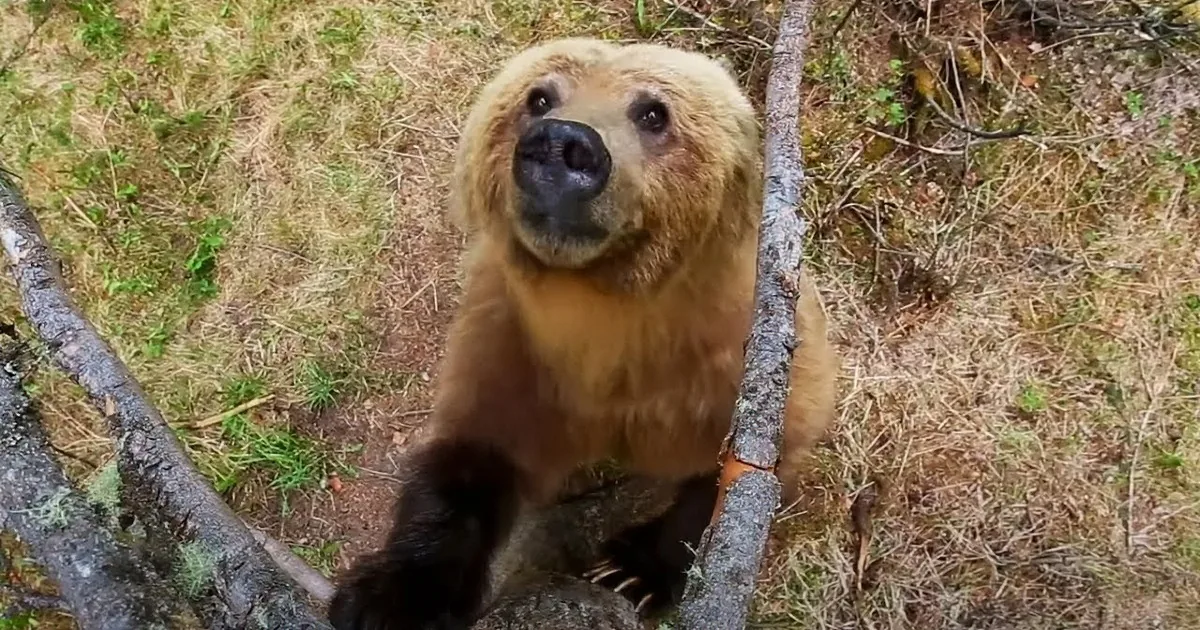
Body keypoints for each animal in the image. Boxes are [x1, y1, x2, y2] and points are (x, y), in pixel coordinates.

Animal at [327, 37, 838, 630]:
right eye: (539, 97)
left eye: (653, 112)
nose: (560, 144)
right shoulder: (514, 347)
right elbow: (470, 457)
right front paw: (391, 597)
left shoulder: (732, 367)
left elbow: (728, 483)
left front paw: (631, 571)